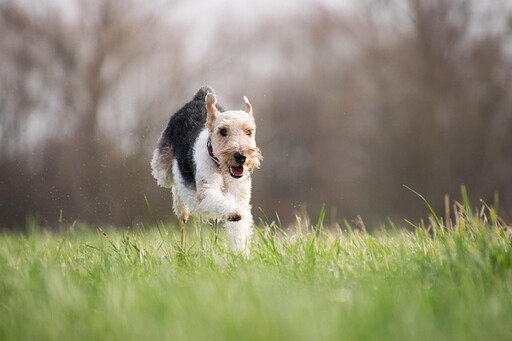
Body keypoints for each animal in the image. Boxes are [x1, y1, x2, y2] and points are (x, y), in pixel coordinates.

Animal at [150, 86, 262, 254]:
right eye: (223, 131)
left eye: (249, 131)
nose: (241, 156)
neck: (221, 169)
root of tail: (199, 96)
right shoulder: (206, 191)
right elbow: (219, 201)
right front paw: (233, 213)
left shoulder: (241, 197)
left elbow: (239, 229)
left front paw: (241, 254)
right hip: (162, 170)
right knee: (175, 183)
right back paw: (182, 210)